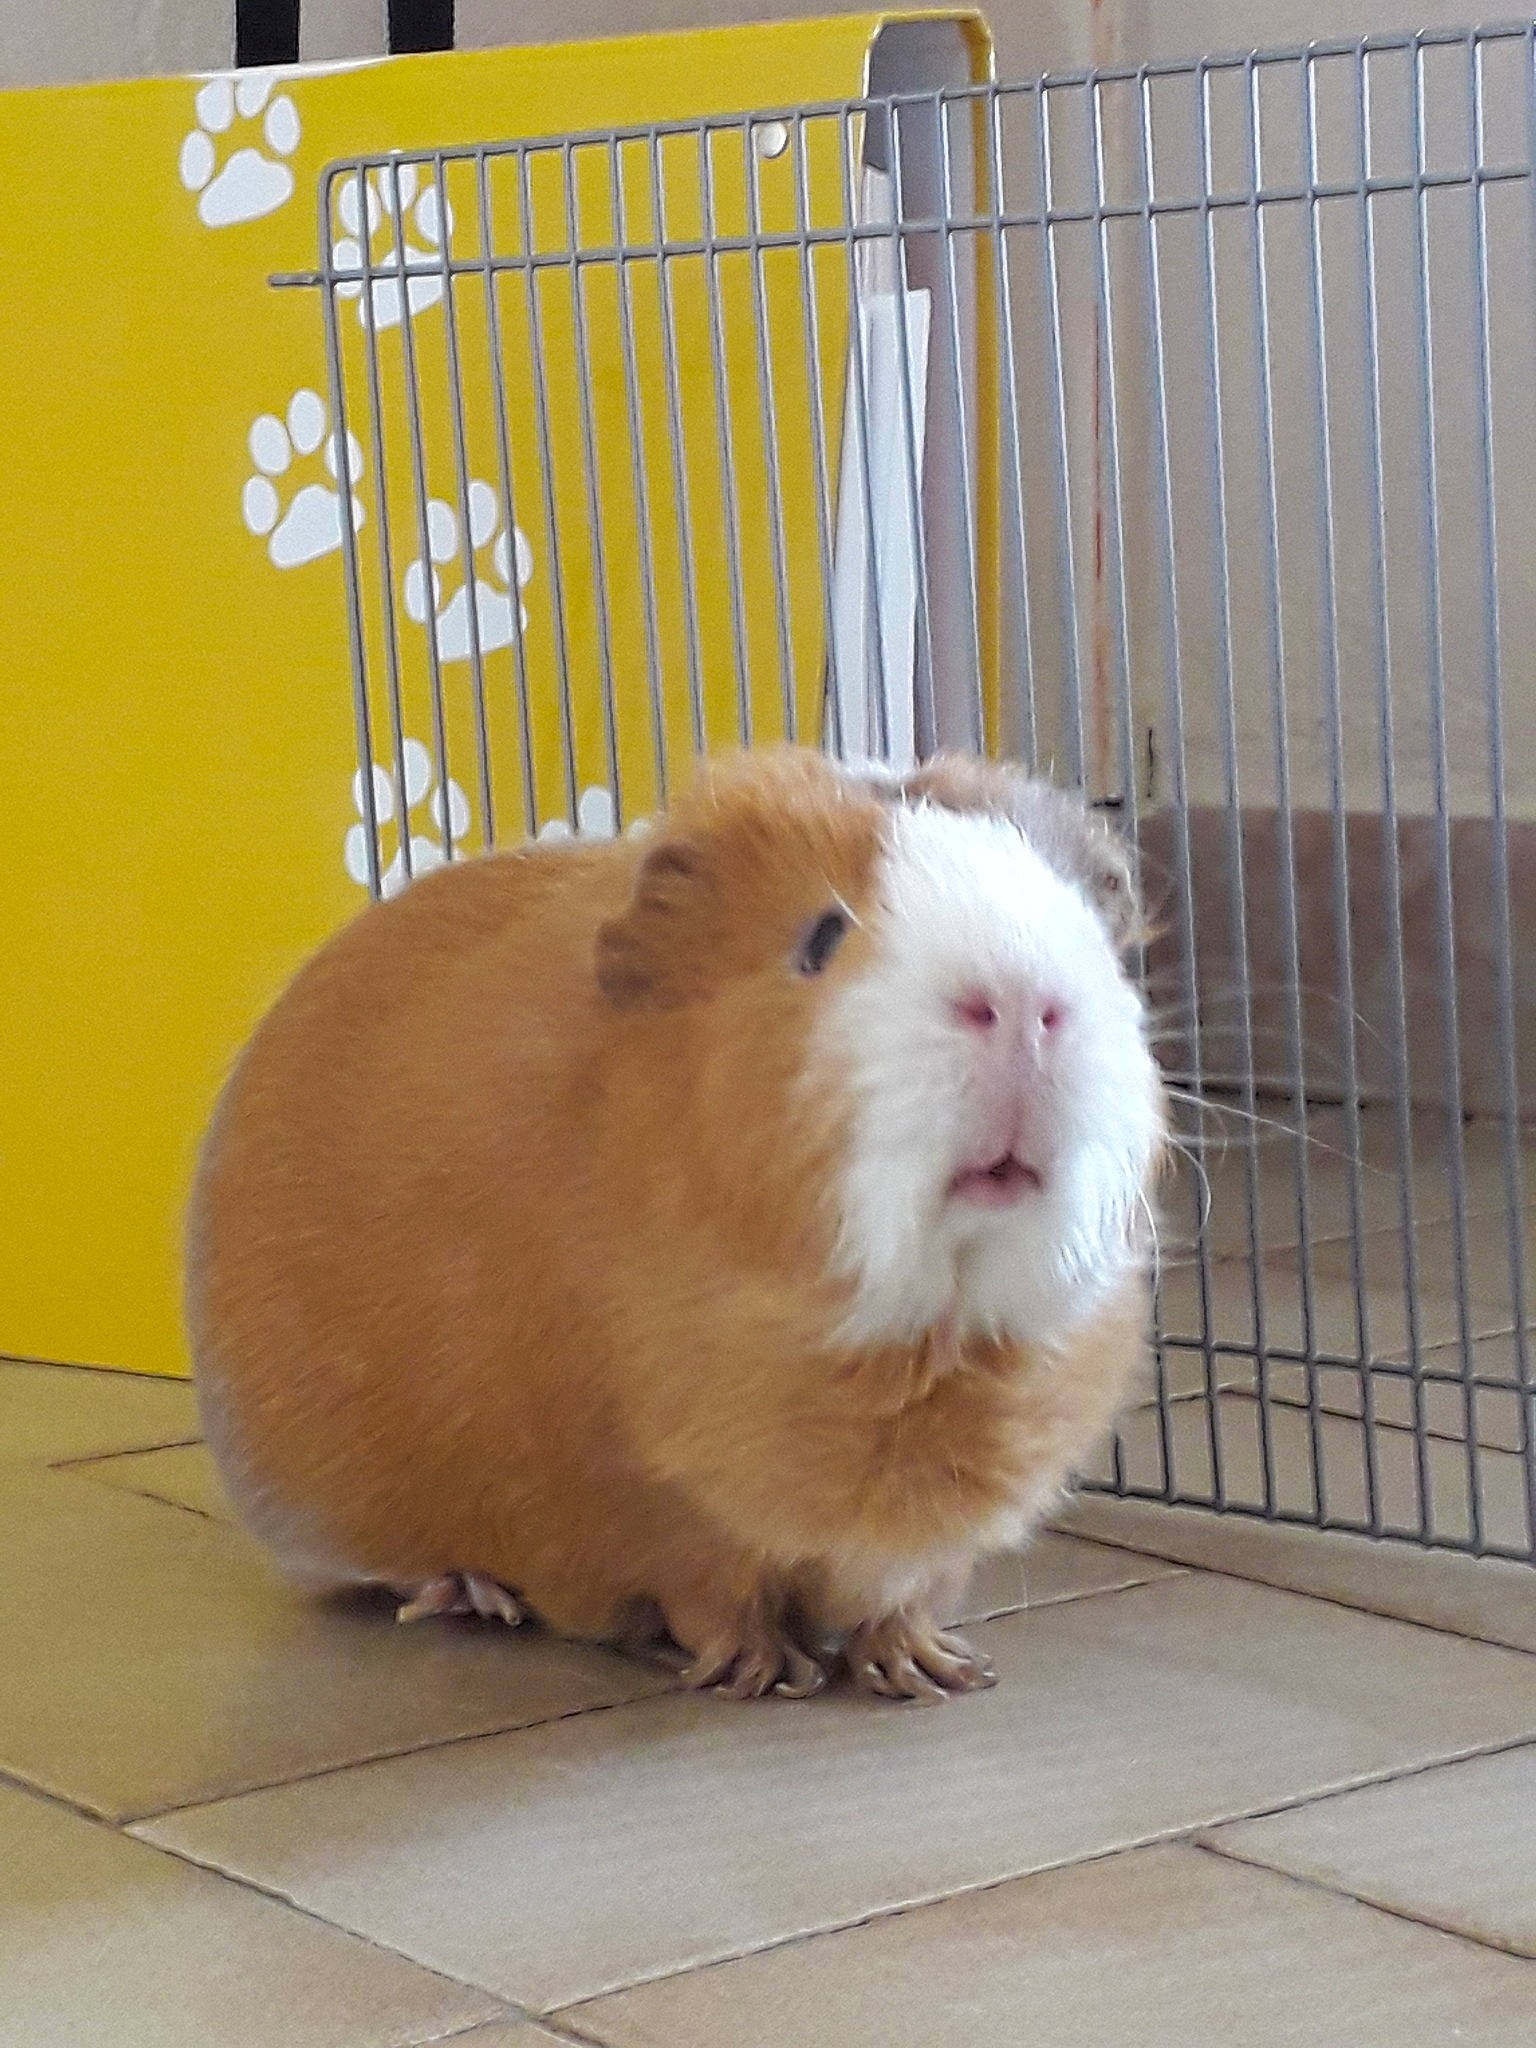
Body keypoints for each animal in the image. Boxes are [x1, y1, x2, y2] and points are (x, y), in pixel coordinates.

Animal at [186, 747, 1165, 1702]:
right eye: (821, 939)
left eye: (1084, 928)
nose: (1024, 1003)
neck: (926, 1342)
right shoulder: (664, 1509)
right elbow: (715, 1600)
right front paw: (763, 1676)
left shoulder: (934, 1540)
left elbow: (902, 1604)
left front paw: (937, 1674)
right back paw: (477, 1596)